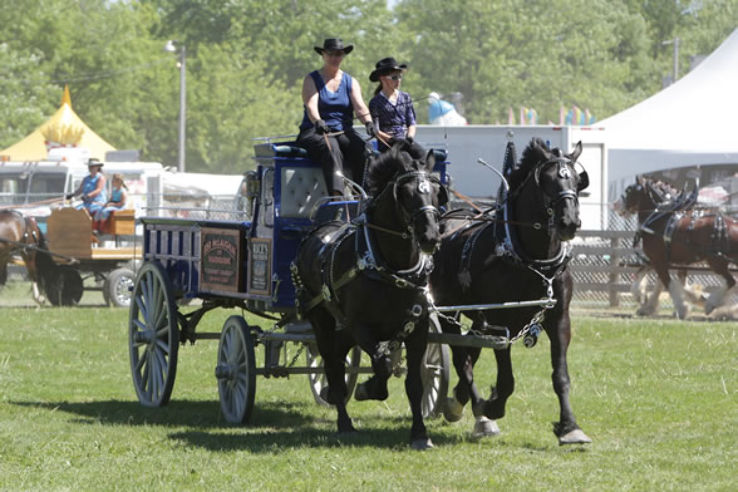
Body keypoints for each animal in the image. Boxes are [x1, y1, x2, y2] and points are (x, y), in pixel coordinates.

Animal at [292, 144, 447, 449]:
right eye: (407, 193)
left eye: (436, 190)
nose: (430, 237)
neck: (392, 269)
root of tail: (317, 230)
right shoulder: (361, 327)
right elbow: (382, 364)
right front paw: (368, 388)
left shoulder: (418, 329)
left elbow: (414, 383)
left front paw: (420, 433)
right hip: (321, 318)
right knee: (332, 364)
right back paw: (344, 422)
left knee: (339, 356)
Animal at [429, 137, 591, 445]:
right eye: (548, 181)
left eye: (578, 181)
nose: (569, 222)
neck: (532, 259)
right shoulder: (500, 322)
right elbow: (506, 380)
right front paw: (492, 406)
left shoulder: (559, 319)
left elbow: (561, 376)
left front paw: (570, 427)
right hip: (449, 312)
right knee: (460, 358)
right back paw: (477, 412)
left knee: (470, 352)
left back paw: (461, 402)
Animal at [615, 176, 738, 319]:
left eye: (629, 190)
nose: (615, 205)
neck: (661, 219)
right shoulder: (660, 260)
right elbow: (650, 280)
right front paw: (645, 303)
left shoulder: (658, 259)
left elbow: (668, 284)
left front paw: (682, 308)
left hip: (716, 261)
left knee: (731, 281)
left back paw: (711, 305)